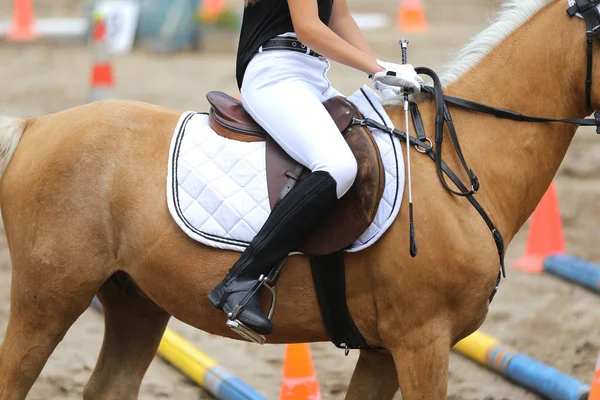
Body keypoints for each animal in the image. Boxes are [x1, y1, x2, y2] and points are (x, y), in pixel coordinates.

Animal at [0, 0, 596, 398]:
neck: (452, 160)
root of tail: (36, 126)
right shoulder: (422, 342)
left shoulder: (385, 350)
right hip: (48, 299)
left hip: (136, 303)